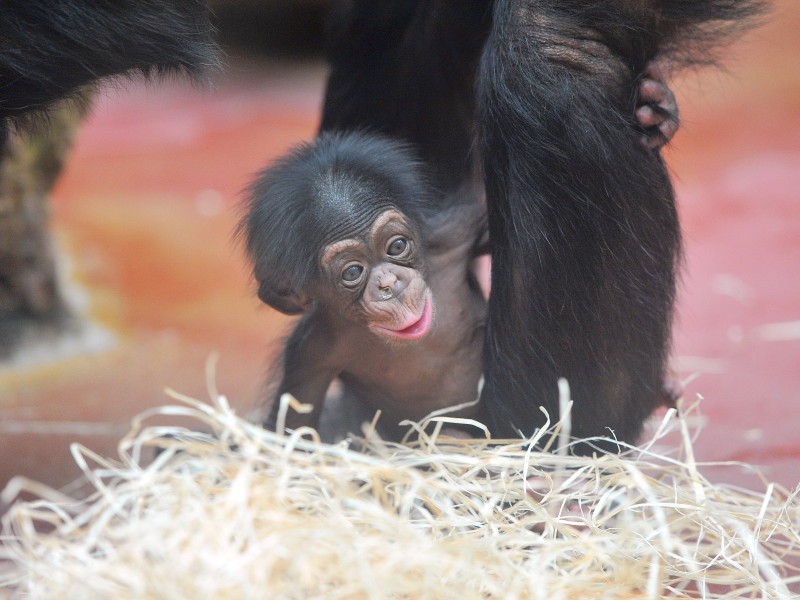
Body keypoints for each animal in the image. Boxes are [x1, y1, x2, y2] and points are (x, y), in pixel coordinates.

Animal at [239, 132, 488, 440]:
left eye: (397, 246)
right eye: (353, 272)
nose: (389, 283)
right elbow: (293, 428)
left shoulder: (457, 232)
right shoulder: (308, 350)